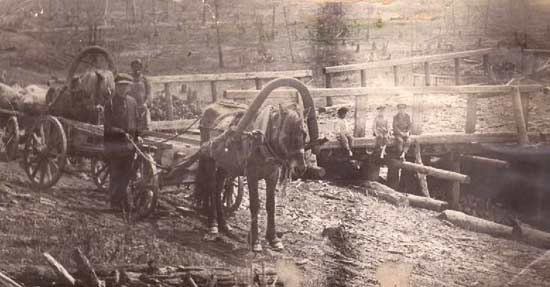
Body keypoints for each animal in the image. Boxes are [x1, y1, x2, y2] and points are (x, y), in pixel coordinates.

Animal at [197, 79, 320, 252]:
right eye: (286, 135)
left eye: (304, 133)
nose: (300, 168)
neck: (262, 140)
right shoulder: (252, 174)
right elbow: (255, 205)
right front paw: (255, 241)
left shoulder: (272, 175)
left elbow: (270, 205)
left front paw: (273, 239)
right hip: (209, 159)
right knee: (210, 188)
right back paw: (213, 224)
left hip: (225, 165)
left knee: (218, 187)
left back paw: (224, 225)